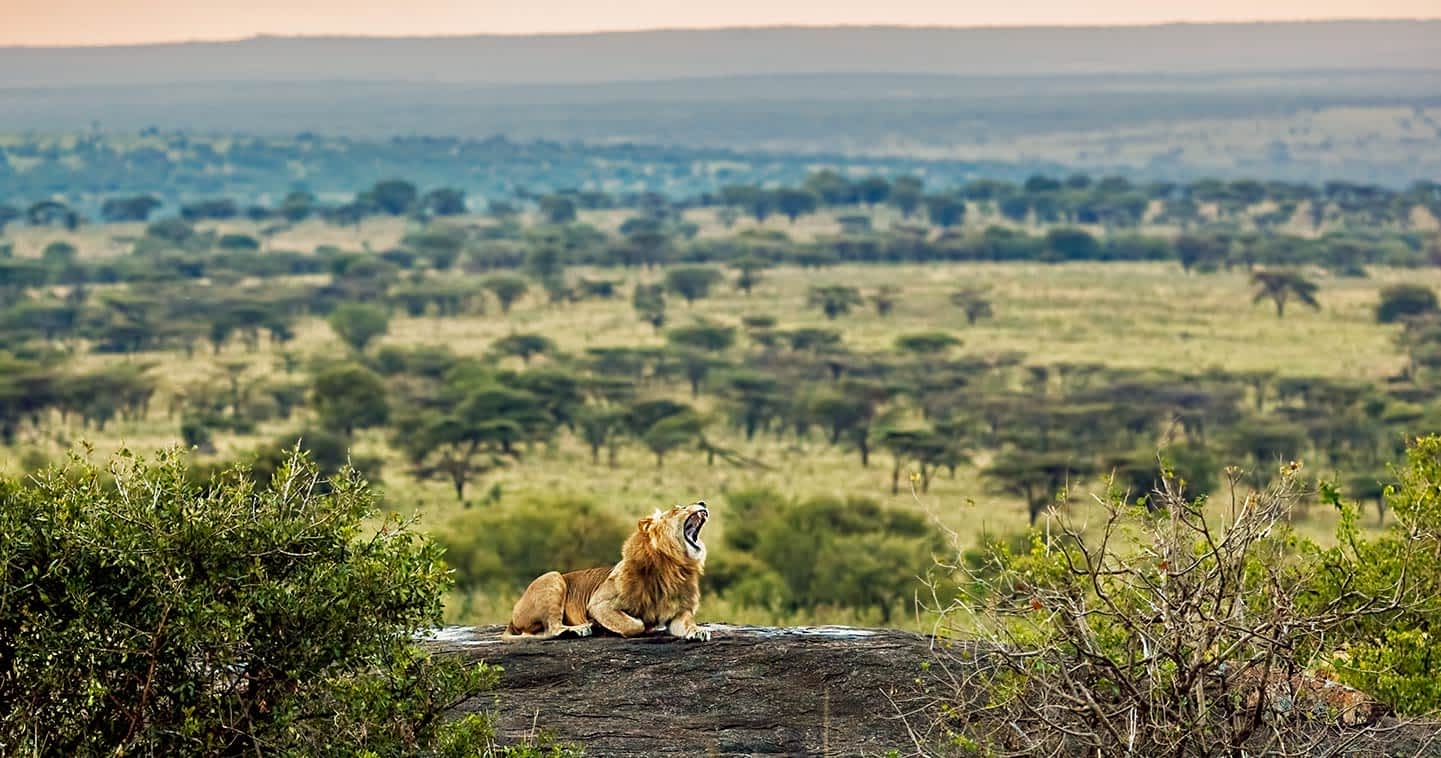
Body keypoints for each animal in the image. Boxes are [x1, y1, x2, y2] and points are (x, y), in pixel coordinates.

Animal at [501, 501, 711, 642]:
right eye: (678, 508)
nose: (702, 502)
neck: (672, 566)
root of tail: (512, 618)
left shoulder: (678, 612)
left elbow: (688, 622)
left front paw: (698, 631)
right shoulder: (598, 604)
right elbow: (635, 624)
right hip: (553, 577)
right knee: (552, 628)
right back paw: (578, 629)